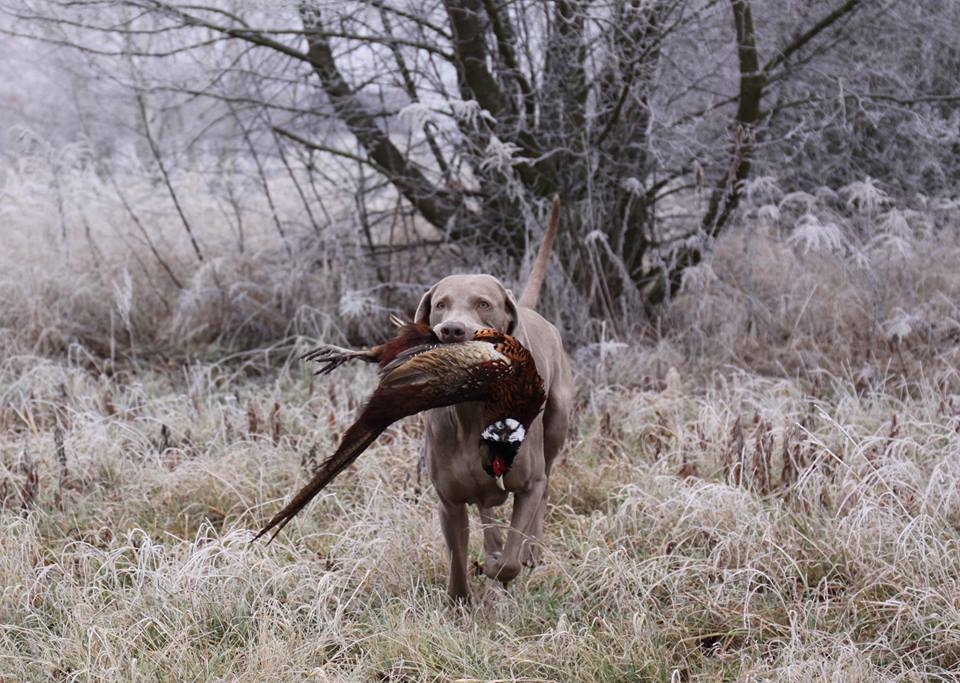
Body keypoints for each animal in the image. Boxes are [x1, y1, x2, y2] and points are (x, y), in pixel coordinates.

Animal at [415, 199, 573, 602]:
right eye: (440, 305)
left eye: (484, 304)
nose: (452, 330)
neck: (472, 412)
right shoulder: (449, 501)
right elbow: (457, 560)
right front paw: (459, 600)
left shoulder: (528, 484)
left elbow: (509, 562)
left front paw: (501, 564)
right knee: (486, 509)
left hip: (557, 423)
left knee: (544, 487)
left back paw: (528, 550)